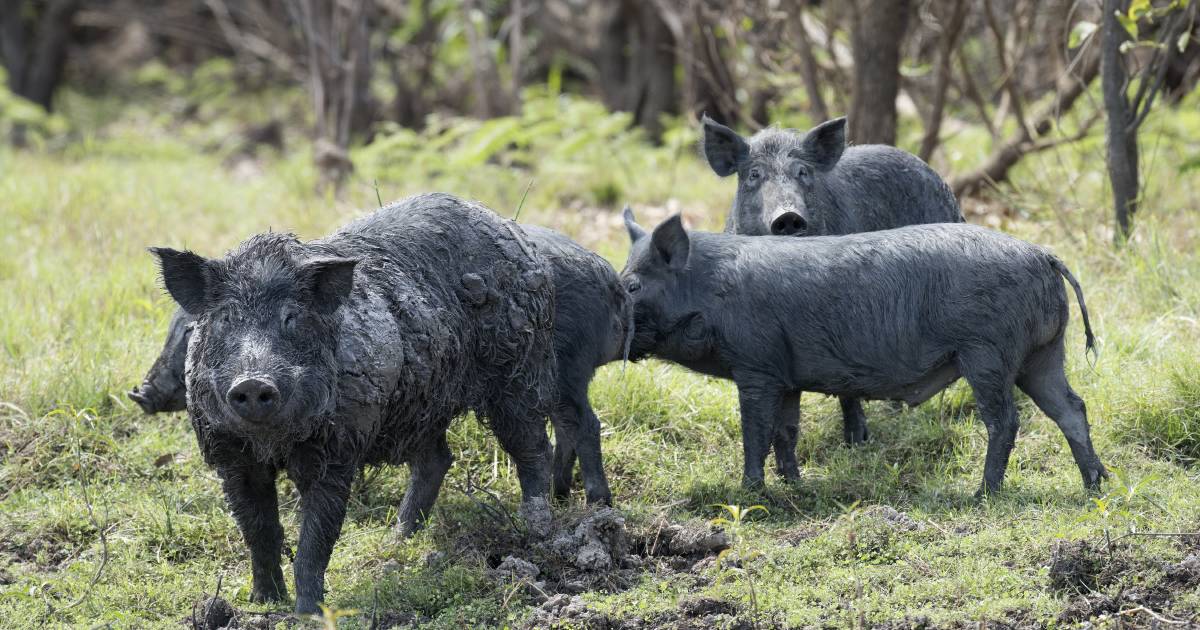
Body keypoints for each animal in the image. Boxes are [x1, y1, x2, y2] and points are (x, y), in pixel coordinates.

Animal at [136, 224, 633, 506]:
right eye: (212, 325)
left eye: (188, 333)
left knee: (572, 428)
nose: (139, 393)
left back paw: (585, 506)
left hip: (546, 373)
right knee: (441, 458)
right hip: (432, 396)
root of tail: (609, 277)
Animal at [148, 193, 556, 614]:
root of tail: (512, 231)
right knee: (437, 459)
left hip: (518, 370)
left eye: (292, 317)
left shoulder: (337, 450)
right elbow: (259, 532)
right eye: (226, 318)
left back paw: (538, 532)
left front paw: (308, 613)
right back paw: (399, 541)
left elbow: (316, 539)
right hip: (423, 404)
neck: (272, 443)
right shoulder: (230, 457)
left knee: (533, 447)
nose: (253, 381)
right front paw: (263, 602)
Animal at [619, 208, 1104, 494]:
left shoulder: (756, 367)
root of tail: (1042, 254)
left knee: (1006, 419)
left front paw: (750, 493)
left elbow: (754, 432)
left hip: (987, 353)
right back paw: (1096, 484)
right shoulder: (786, 376)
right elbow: (785, 432)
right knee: (1072, 407)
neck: (709, 293)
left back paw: (982, 493)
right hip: (1042, 354)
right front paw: (795, 486)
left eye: (633, 285)